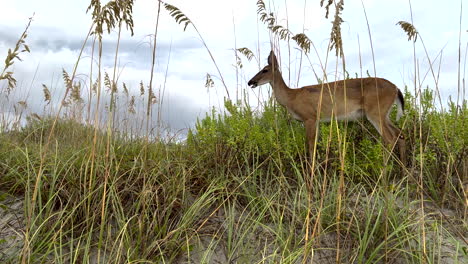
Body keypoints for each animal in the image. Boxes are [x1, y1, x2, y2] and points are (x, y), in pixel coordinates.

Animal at [249, 50, 406, 164]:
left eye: (265, 70)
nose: (250, 82)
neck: (291, 97)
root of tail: (396, 88)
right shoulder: (316, 121)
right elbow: (314, 146)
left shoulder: (310, 118)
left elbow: (310, 146)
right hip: (384, 114)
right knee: (400, 134)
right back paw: (404, 172)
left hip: (375, 112)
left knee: (390, 138)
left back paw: (384, 171)